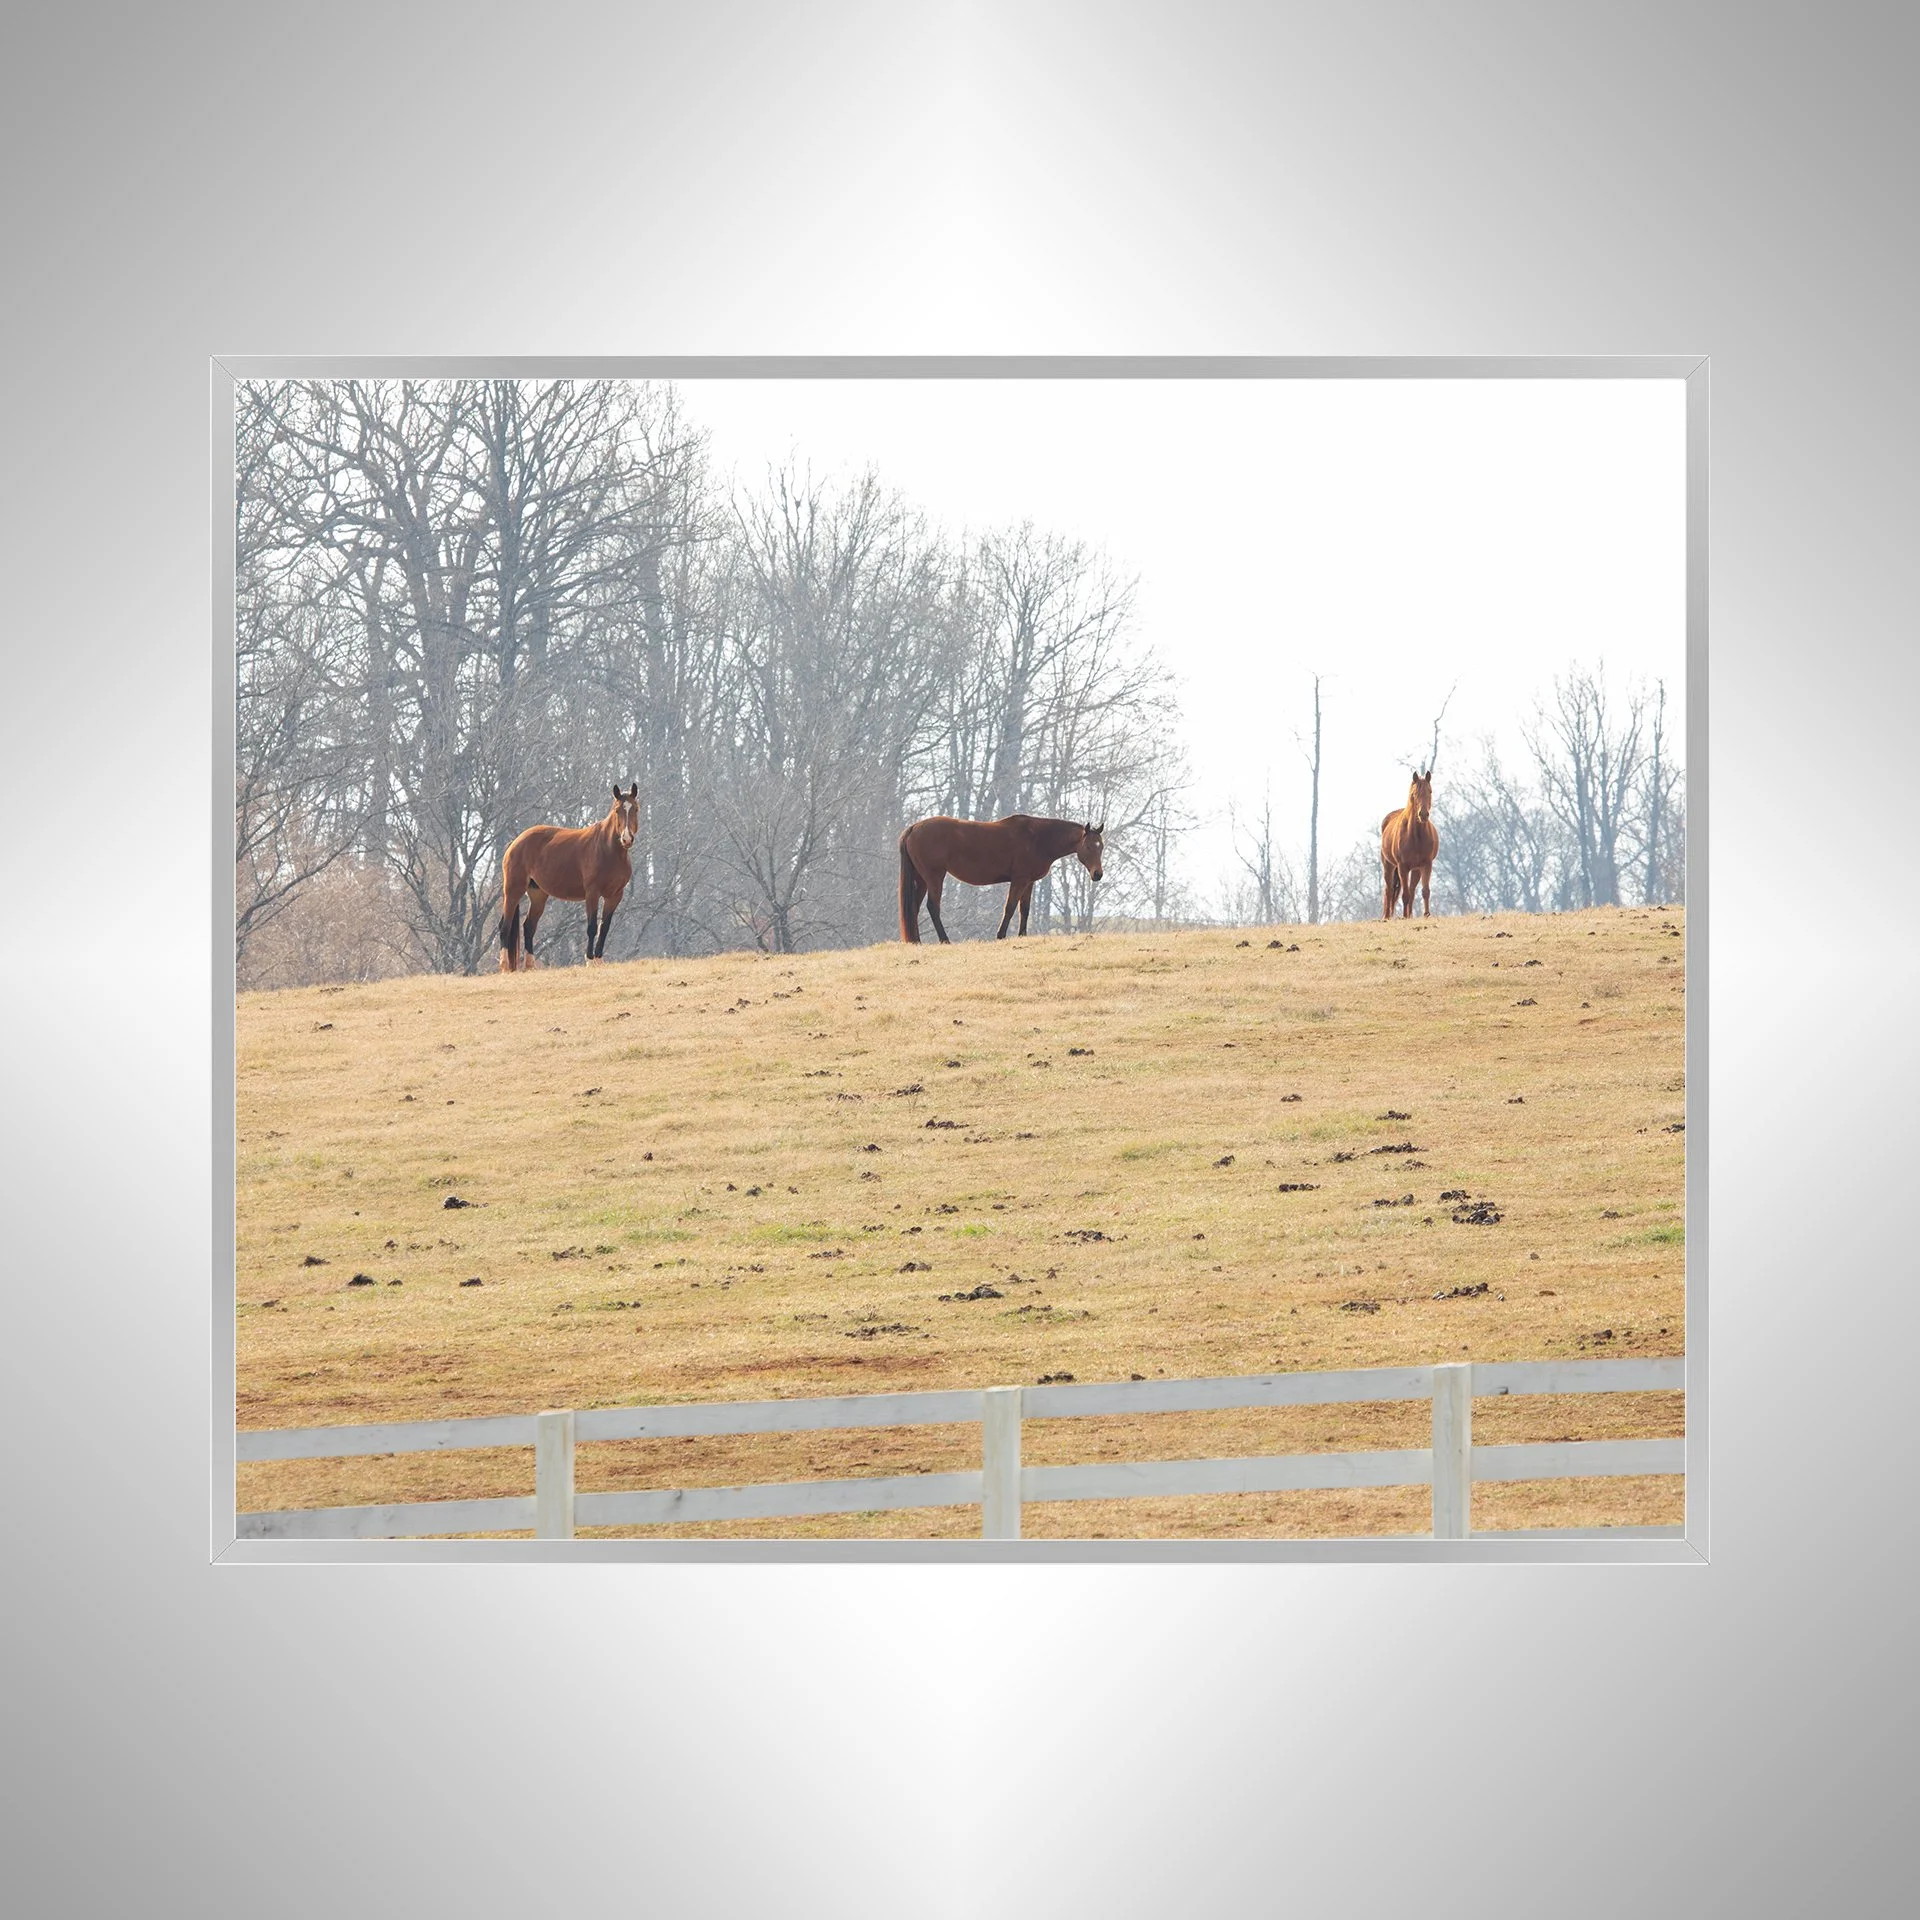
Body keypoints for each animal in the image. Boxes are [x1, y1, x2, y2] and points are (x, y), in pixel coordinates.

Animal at [498, 784, 638, 971]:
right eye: (617, 810)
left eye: (635, 809)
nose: (626, 838)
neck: (608, 849)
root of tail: (515, 842)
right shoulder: (592, 894)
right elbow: (592, 927)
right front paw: (590, 960)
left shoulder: (615, 896)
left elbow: (604, 927)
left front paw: (599, 960)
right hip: (513, 890)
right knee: (505, 926)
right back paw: (505, 966)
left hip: (538, 895)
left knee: (529, 926)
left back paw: (530, 966)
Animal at [898, 814, 1104, 943]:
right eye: (1088, 847)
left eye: (1101, 846)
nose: (1098, 874)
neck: (1038, 839)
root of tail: (913, 828)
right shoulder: (1019, 880)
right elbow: (1010, 907)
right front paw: (1001, 934)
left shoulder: (1029, 882)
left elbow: (1024, 909)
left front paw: (1022, 935)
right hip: (934, 877)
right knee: (933, 907)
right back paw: (944, 939)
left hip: (922, 879)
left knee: (914, 907)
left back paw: (916, 941)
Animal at [1380, 768, 1439, 919]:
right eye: (1414, 793)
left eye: (1430, 791)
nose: (1423, 814)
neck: (1416, 836)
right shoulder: (1402, 866)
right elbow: (1404, 895)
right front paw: (1404, 917)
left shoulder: (1426, 865)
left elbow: (1425, 891)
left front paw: (1426, 914)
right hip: (1388, 865)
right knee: (1389, 889)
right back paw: (1387, 917)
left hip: (1416, 869)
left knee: (1412, 890)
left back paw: (1409, 915)